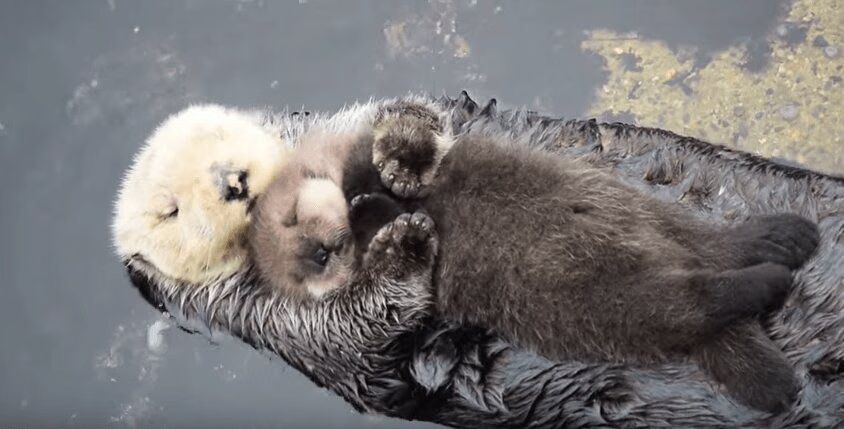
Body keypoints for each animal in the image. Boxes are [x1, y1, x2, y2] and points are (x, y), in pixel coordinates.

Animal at [249, 106, 819, 413]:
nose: (326, 235)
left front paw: (398, 164)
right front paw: (378, 215)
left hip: (638, 211)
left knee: (711, 245)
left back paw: (781, 239)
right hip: (609, 301)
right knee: (694, 300)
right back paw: (772, 285)